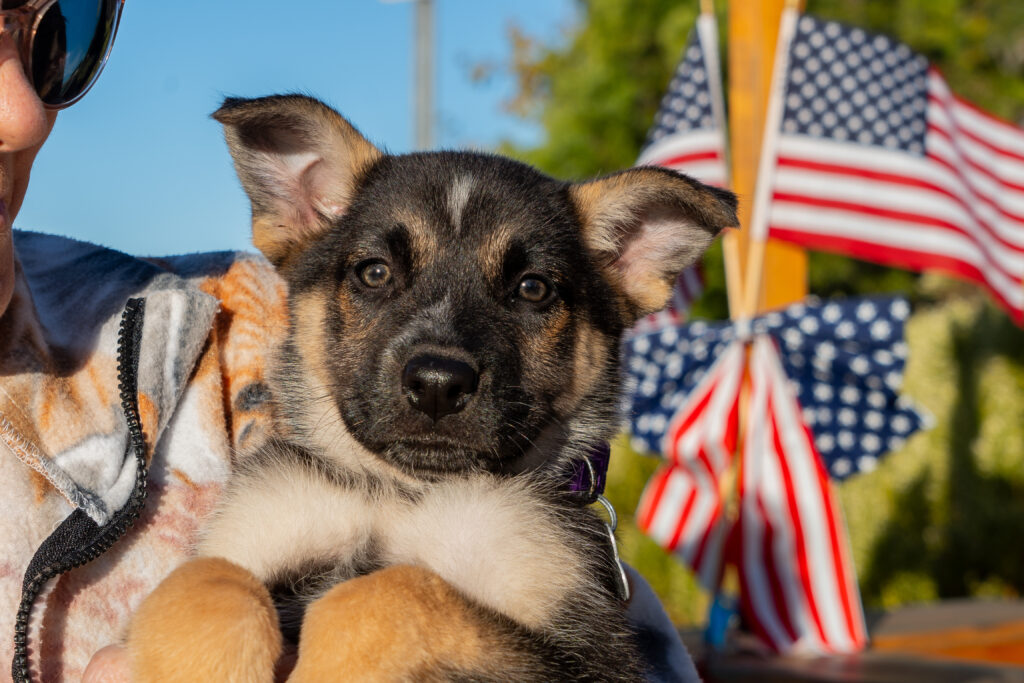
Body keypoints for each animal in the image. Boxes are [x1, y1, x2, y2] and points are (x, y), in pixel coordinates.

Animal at [125, 96, 737, 683]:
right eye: (375, 273)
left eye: (532, 289)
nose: (438, 384)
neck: (403, 494)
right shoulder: (256, 527)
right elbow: (204, 578)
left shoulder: (591, 654)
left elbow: (395, 592)